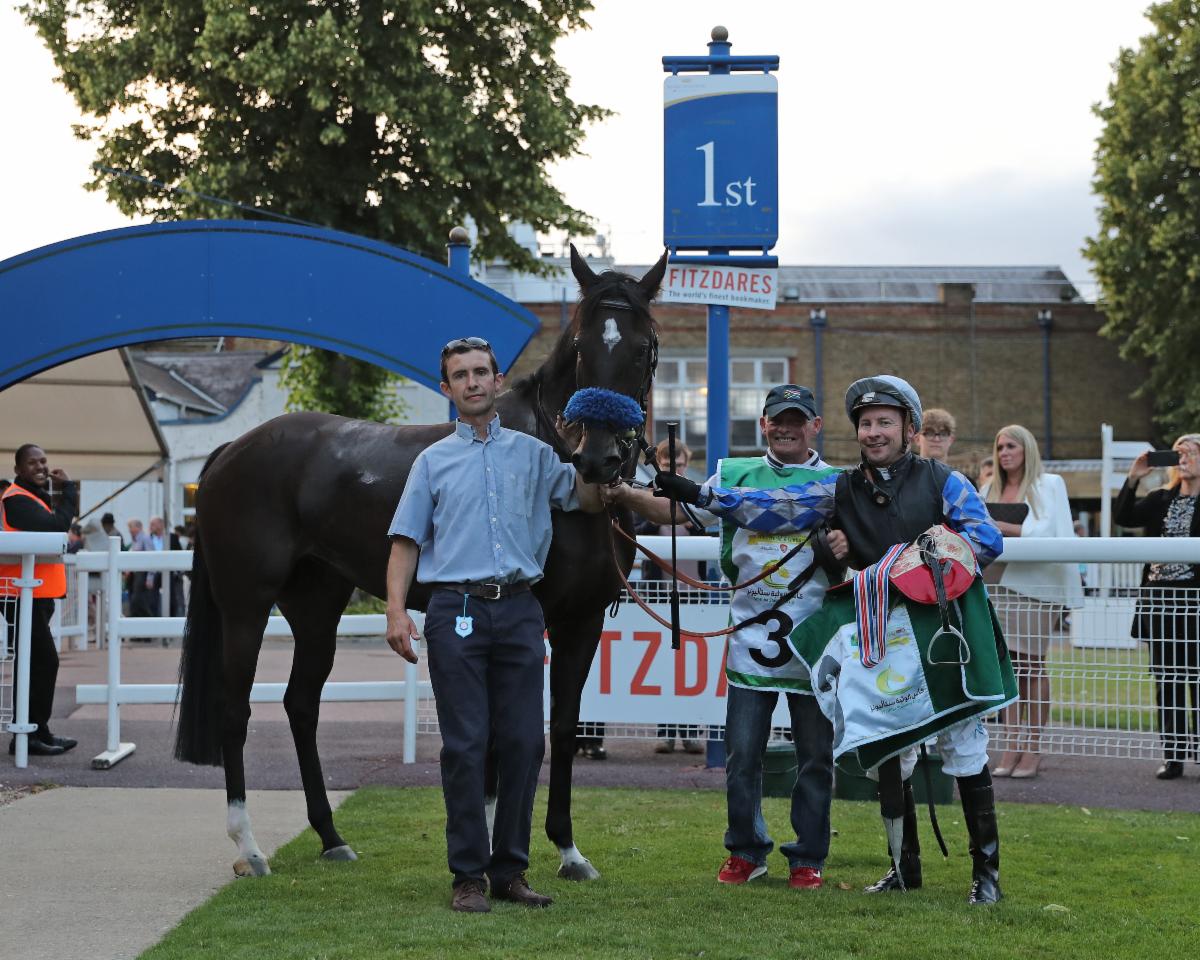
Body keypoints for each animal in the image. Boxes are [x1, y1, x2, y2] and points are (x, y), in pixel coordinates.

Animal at [175, 246, 672, 878]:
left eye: (642, 347)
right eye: (583, 345)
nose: (599, 458)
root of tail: (230, 453)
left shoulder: (580, 621)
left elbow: (562, 724)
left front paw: (567, 848)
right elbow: (502, 730)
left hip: (316, 606)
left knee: (301, 705)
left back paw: (331, 836)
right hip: (246, 605)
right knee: (235, 709)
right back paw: (249, 847)